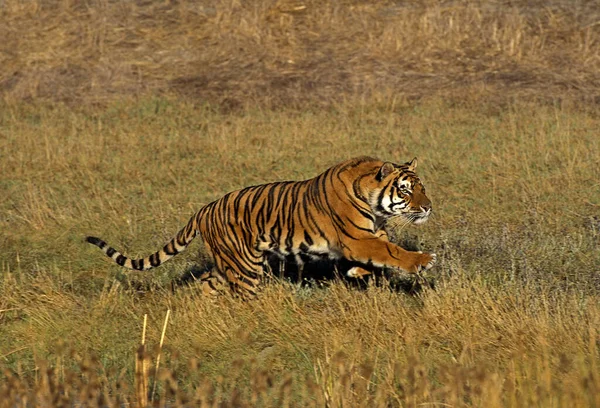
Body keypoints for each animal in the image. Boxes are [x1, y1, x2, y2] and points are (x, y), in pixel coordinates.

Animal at [85, 156, 436, 296]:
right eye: (406, 190)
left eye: (422, 187)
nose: (428, 206)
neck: (373, 202)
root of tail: (203, 210)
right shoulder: (357, 238)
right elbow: (390, 250)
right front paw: (422, 261)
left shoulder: (371, 232)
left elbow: (384, 247)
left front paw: (359, 271)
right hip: (245, 266)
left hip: (230, 264)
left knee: (208, 284)